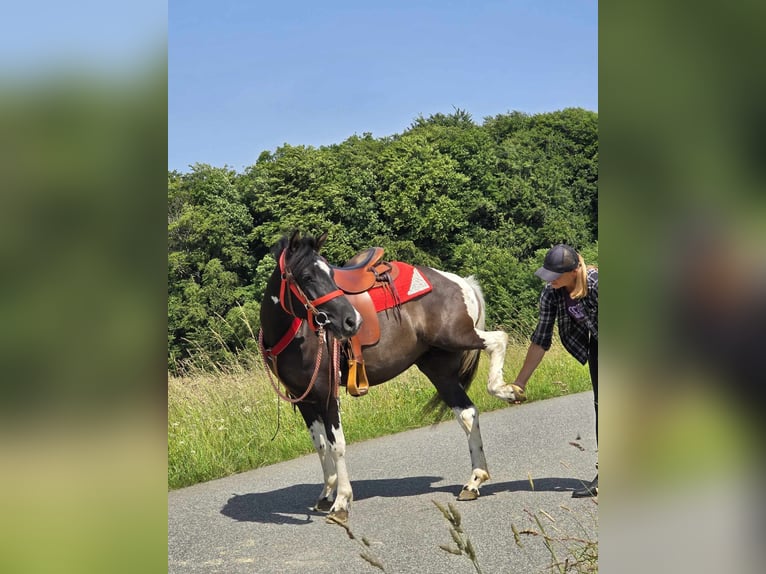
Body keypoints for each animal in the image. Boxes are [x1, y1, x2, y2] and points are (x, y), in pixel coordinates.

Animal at [258, 231, 524, 524]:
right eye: (306, 276)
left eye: (331, 274)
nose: (352, 320)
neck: (297, 332)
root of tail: (459, 281)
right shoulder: (304, 398)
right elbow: (320, 445)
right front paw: (327, 493)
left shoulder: (327, 394)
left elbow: (337, 444)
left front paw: (341, 502)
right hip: (438, 367)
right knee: (467, 413)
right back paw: (474, 481)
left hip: (457, 336)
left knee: (498, 340)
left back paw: (507, 390)